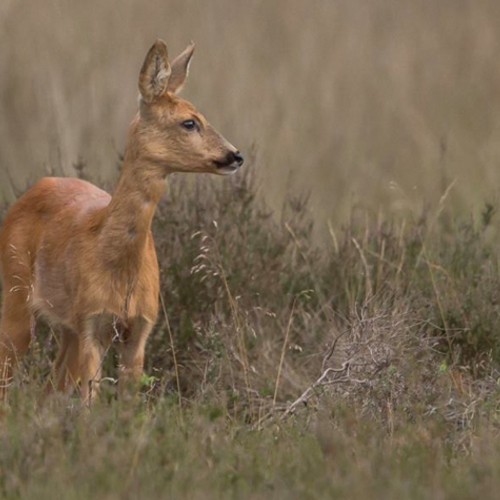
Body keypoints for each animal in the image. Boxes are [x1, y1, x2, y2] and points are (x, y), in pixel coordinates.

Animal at [0, 41, 244, 404]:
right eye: (189, 122)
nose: (235, 155)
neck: (119, 266)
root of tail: (33, 188)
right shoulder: (92, 323)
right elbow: (90, 405)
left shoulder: (140, 329)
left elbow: (128, 405)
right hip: (16, 297)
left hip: (67, 329)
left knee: (49, 388)